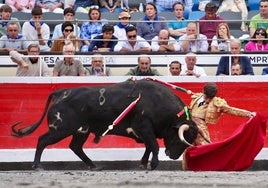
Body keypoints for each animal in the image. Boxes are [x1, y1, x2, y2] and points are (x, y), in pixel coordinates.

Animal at [11, 79, 198, 170]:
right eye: (180, 138)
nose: (173, 156)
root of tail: (60, 93)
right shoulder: (144, 127)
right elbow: (154, 146)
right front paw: (153, 165)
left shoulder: (144, 131)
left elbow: (149, 147)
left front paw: (144, 163)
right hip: (61, 129)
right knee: (42, 140)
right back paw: (37, 166)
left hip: (81, 131)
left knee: (75, 147)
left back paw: (93, 166)